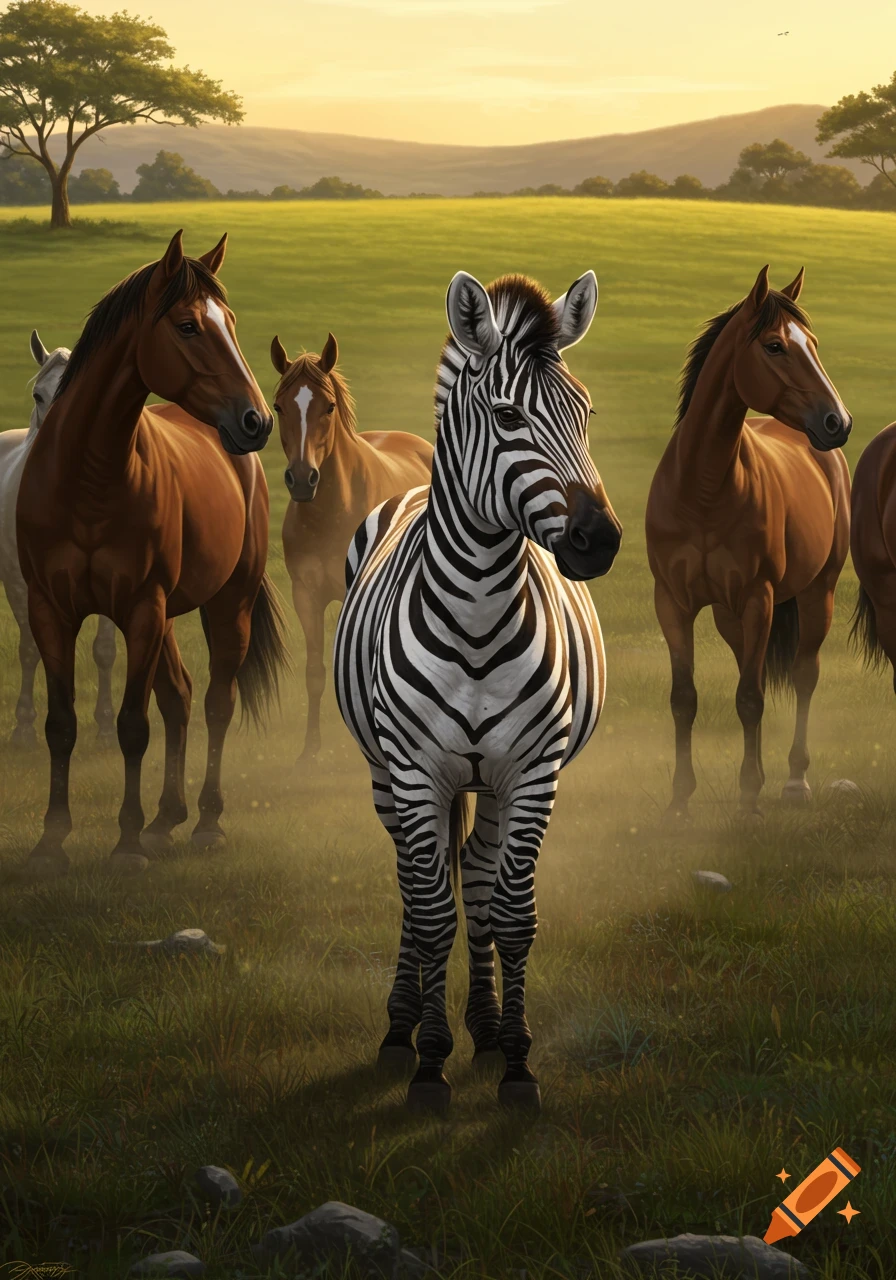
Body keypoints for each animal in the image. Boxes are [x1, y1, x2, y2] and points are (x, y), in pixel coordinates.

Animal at [0, 332, 117, 747]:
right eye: (39, 395)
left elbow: (103, 651)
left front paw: (104, 727)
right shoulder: (22, 584)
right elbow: (31, 649)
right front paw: (24, 728)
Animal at [16, 230, 289, 876]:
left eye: (230, 322)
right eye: (188, 326)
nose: (257, 420)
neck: (89, 483)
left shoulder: (141, 608)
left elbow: (132, 725)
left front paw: (126, 844)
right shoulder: (49, 609)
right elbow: (61, 724)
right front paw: (51, 842)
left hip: (226, 604)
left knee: (215, 701)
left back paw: (206, 822)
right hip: (167, 617)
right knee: (181, 698)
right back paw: (167, 819)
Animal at [270, 331, 433, 759]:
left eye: (328, 407)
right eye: (278, 406)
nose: (302, 478)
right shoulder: (305, 595)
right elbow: (315, 671)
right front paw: (310, 749)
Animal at [334, 268, 622, 1113]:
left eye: (586, 413)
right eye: (507, 415)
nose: (600, 541)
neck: (478, 614)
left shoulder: (532, 773)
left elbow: (514, 912)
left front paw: (518, 1059)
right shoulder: (415, 771)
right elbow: (432, 915)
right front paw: (429, 1062)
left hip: (489, 781)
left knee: (481, 876)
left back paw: (488, 1028)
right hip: (387, 776)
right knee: (414, 884)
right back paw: (402, 1027)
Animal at [646, 265, 851, 819]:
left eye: (814, 344)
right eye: (775, 346)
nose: (837, 422)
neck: (704, 490)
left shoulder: (759, 597)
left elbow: (752, 699)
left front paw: (749, 800)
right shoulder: (672, 603)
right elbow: (684, 698)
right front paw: (679, 801)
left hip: (817, 592)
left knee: (803, 674)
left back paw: (795, 781)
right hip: (728, 614)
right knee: (748, 669)